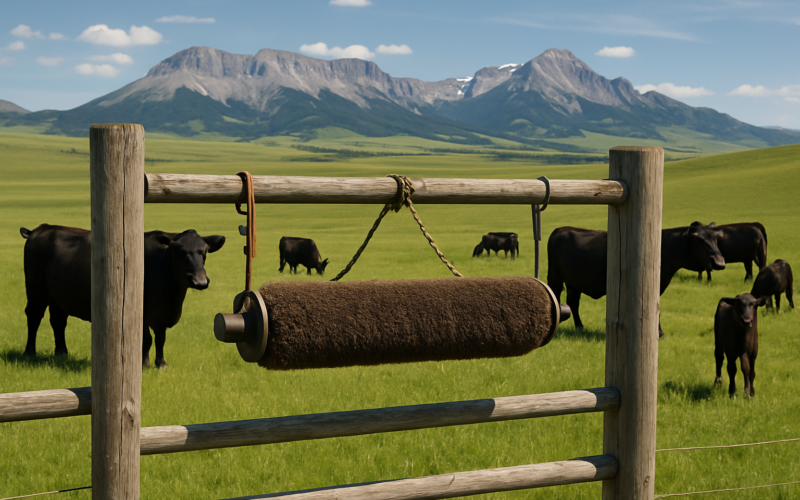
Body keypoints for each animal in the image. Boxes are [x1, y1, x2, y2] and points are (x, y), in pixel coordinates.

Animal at [20, 224, 225, 368]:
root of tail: (40, 229)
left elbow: (160, 338)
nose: (200, 281)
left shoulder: (160, 315)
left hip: (59, 297)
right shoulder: (142, 312)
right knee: (34, 317)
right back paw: (29, 352)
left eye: (204, 253)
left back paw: (62, 353)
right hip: (36, 290)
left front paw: (160, 363)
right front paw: (145, 363)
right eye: (180, 253)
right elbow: (146, 339)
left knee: (58, 321)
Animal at [547, 222, 725, 337]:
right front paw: (658, 332)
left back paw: (579, 326)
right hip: (555, 278)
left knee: (573, 303)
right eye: (700, 240)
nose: (720, 262)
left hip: (574, 282)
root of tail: (560, 229)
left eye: (716, 240)